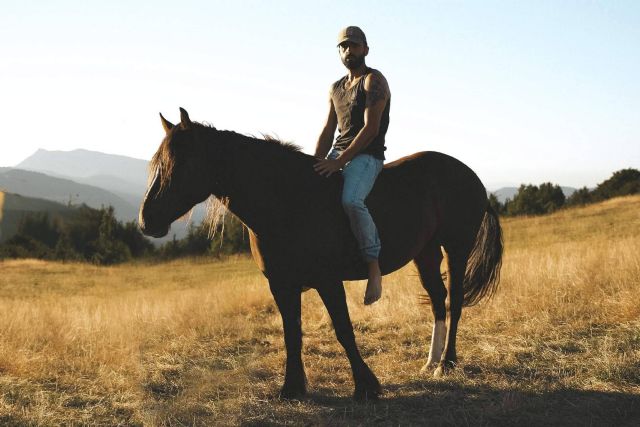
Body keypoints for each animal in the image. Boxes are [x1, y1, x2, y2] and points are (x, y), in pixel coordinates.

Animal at [140, 109, 504, 402]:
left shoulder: (328, 281)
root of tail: (470, 175)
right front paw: (292, 389)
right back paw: (431, 361)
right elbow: (292, 334)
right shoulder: (281, 284)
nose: (147, 221)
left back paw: (447, 363)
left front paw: (366, 386)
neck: (286, 199)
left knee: (454, 300)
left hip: (456, 248)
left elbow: (343, 329)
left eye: (180, 164)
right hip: (425, 253)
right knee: (438, 299)